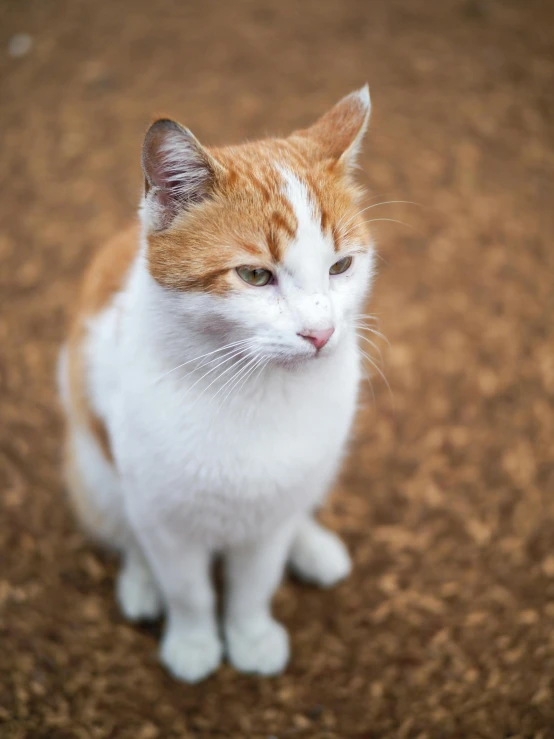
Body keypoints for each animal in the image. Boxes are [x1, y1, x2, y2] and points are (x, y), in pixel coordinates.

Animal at [57, 85, 376, 684]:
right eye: (254, 275)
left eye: (341, 267)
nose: (321, 333)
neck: (253, 389)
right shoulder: (164, 519)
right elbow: (188, 591)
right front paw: (194, 642)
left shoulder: (269, 518)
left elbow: (254, 584)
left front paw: (250, 636)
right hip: (97, 469)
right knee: (123, 527)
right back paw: (139, 583)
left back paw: (313, 546)